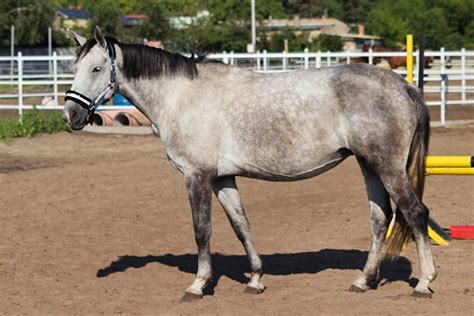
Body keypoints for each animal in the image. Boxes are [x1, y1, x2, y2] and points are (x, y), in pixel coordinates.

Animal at [63, 27, 436, 302]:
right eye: (74, 68)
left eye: (96, 69)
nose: (71, 115)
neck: (181, 95)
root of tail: (402, 85)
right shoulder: (222, 179)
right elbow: (241, 225)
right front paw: (255, 278)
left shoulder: (196, 176)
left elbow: (202, 230)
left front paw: (198, 285)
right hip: (369, 164)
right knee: (380, 217)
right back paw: (364, 280)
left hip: (388, 167)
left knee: (415, 213)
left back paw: (424, 283)